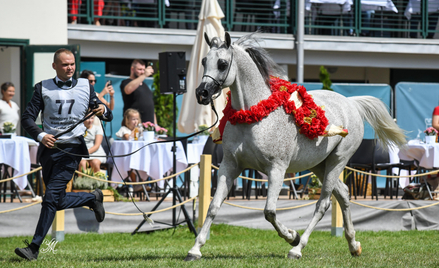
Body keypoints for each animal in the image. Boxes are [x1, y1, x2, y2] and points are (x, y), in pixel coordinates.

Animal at [185, 32, 406, 260]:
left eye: (222, 63)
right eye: (204, 61)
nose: (202, 93)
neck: (254, 116)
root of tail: (351, 103)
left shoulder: (276, 169)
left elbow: (270, 211)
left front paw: (292, 236)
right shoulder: (229, 166)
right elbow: (213, 207)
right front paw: (195, 249)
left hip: (338, 161)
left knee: (323, 203)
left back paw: (298, 248)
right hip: (319, 165)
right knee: (344, 194)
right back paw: (353, 245)